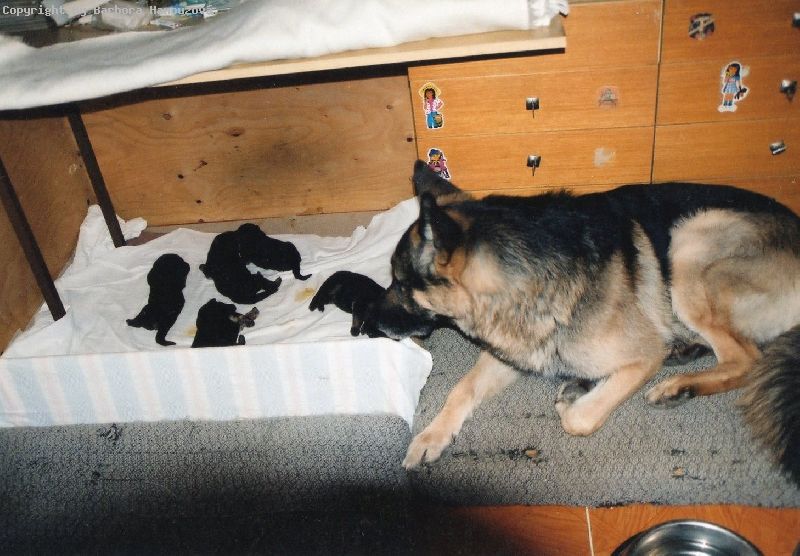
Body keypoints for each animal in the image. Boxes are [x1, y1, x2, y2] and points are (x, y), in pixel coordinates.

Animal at [370, 161, 800, 483]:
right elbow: (461, 390)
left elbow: (578, 419)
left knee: (746, 358)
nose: (368, 321)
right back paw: (685, 357)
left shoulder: (644, 357)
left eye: (402, 283)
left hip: (690, 245)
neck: (525, 275)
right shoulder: (513, 352)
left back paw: (677, 385)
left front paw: (576, 394)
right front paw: (431, 435)